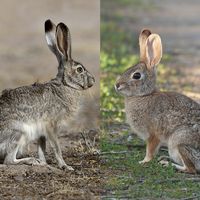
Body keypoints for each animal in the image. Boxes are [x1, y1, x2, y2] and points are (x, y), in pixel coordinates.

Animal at [0, 19, 94, 170]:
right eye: (80, 69)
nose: (93, 81)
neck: (64, 85)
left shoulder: (42, 132)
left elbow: (42, 148)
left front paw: (44, 163)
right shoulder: (51, 125)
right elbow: (56, 147)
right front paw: (65, 166)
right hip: (19, 132)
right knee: (9, 160)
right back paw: (31, 161)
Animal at [115, 28, 200, 173]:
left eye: (136, 75)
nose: (117, 85)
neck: (144, 95)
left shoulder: (153, 134)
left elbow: (150, 150)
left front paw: (143, 161)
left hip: (178, 141)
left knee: (191, 168)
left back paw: (168, 164)